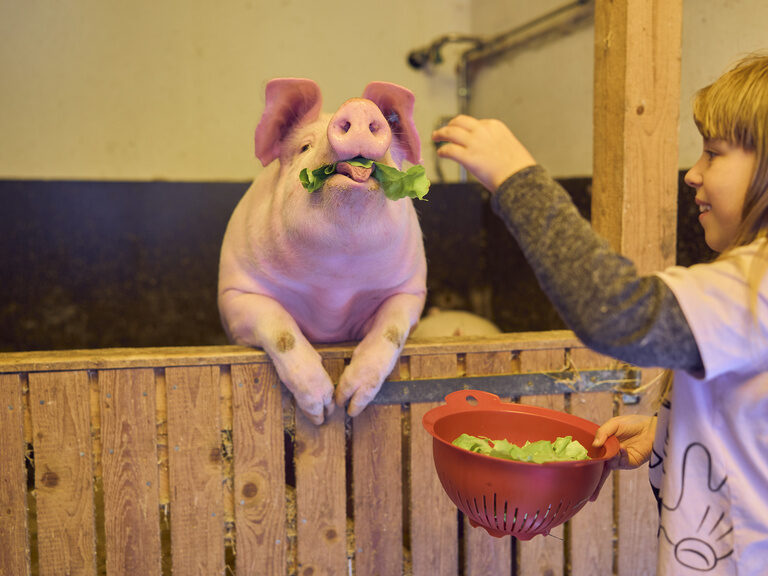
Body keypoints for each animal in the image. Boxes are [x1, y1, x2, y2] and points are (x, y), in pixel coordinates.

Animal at [218, 78, 427, 425]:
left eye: (392, 156)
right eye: (304, 147)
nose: (358, 106)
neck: (334, 289)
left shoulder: (409, 290)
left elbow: (391, 330)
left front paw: (350, 405)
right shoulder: (235, 293)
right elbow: (282, 331)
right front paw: (323, 412)